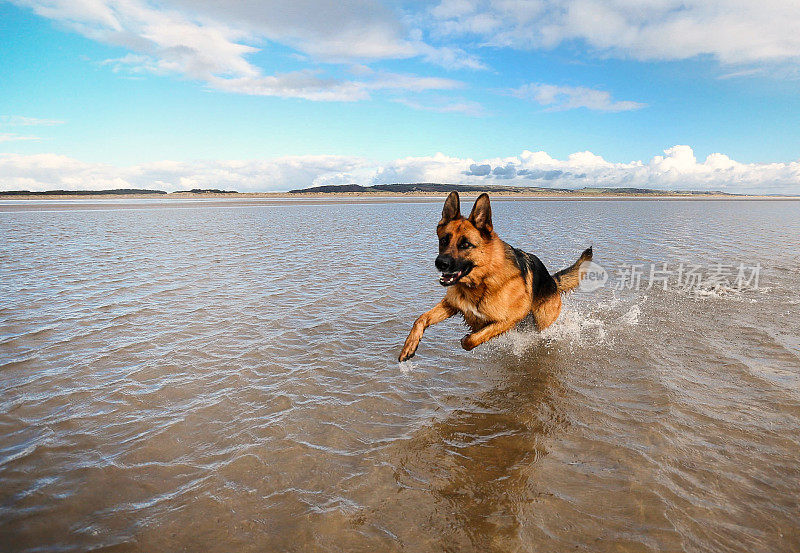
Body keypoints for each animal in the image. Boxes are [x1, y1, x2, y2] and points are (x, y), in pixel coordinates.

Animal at [400, 191, 592, 362]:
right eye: (444, 240)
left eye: (465, 245)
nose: (440, 263)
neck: (483, 280)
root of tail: (551, 280)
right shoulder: (452, 304)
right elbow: (421, 318)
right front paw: (409, 346)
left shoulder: (510, 318)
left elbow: (471, 340)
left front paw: (467, 338)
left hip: (541, 322)